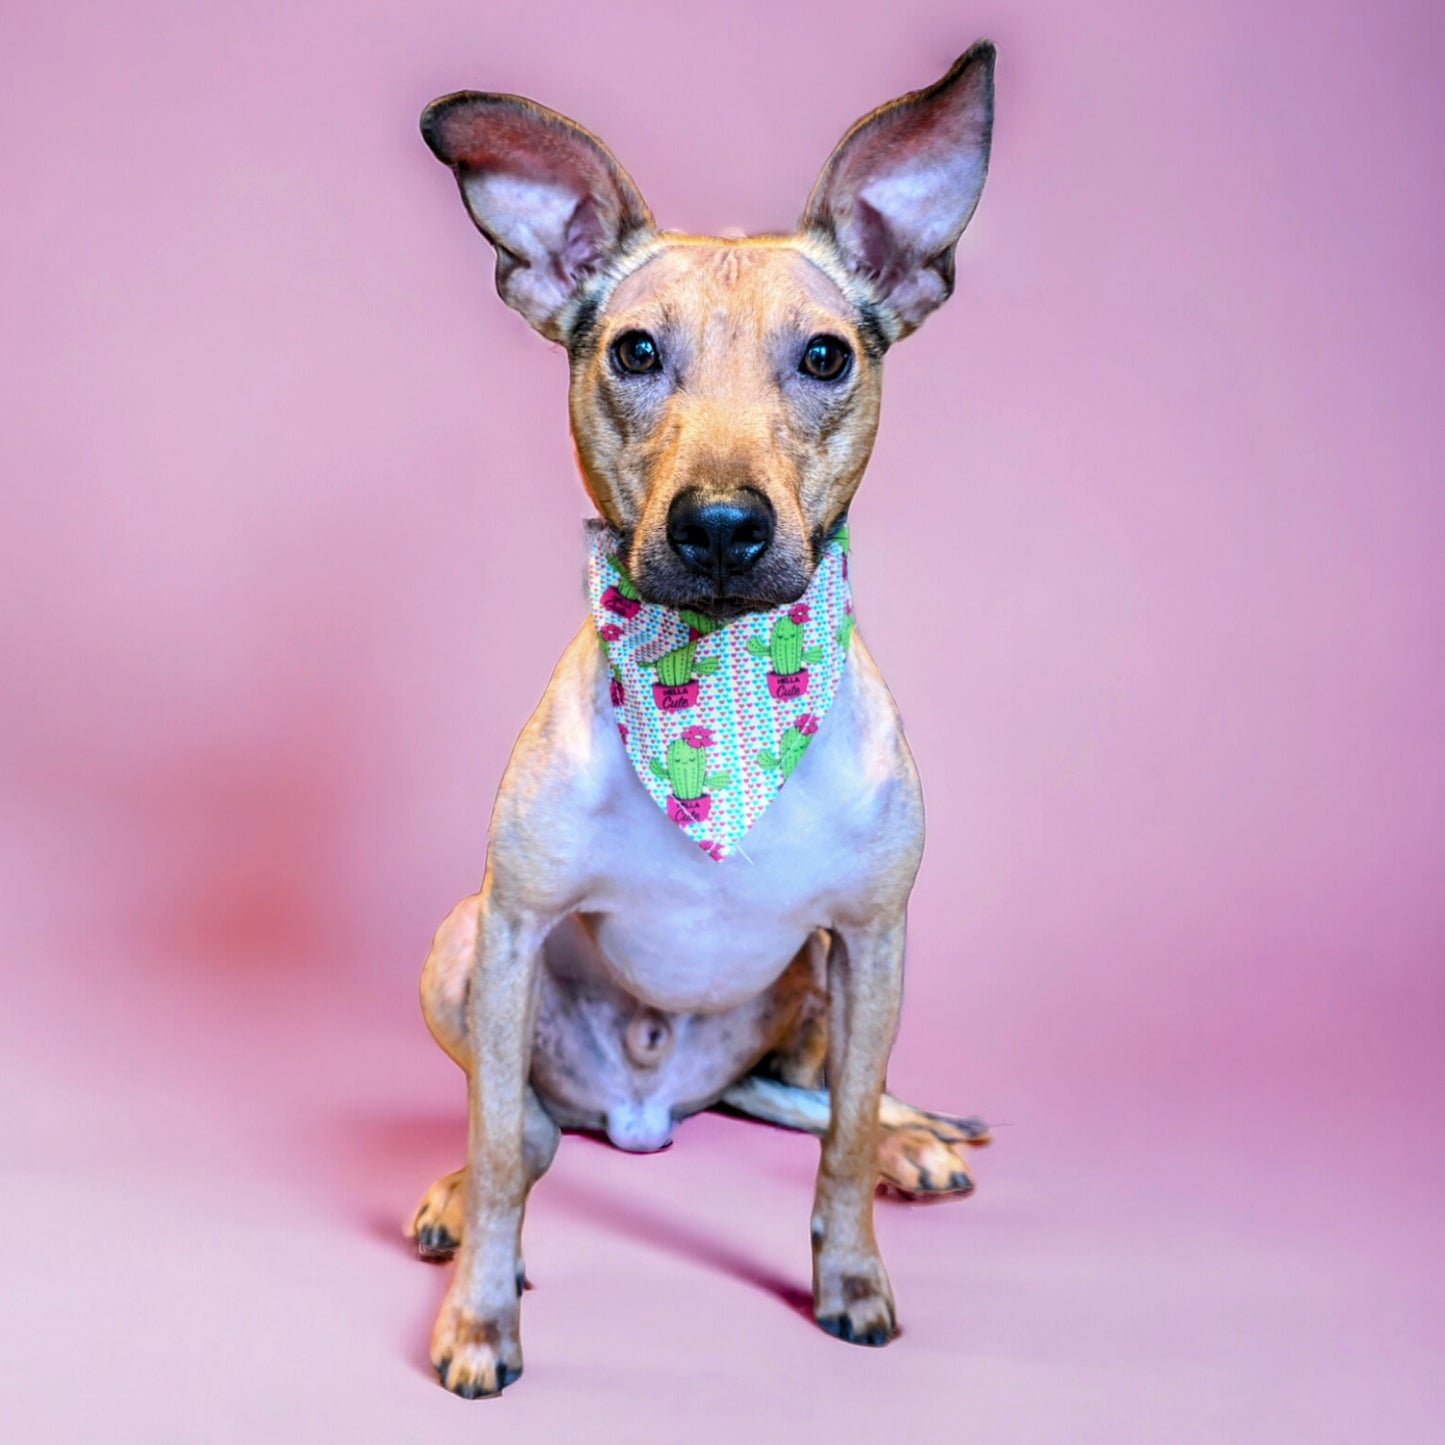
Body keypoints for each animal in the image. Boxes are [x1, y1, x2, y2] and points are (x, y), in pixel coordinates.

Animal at [407, 45, 994, 1392]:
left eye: (825, 358)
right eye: (632, 352)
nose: (719, 526)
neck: (720, 697)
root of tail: (648, 1110)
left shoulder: (873, 939)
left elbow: (839, 1142)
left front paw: (851, 1275)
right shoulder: (511, 929)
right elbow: (506, 1147)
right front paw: (481, 1314)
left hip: (812, 996)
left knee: (813, 1101)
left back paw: (912, 1137)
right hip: (457, 950)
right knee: (527, 1125)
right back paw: (462, 1190)